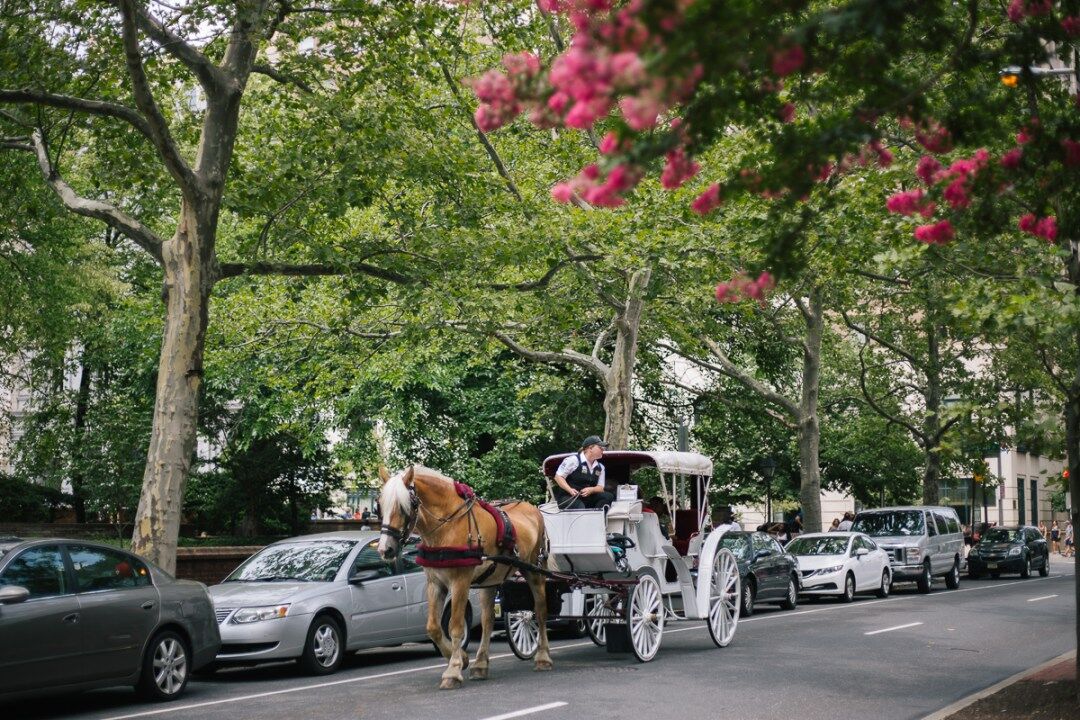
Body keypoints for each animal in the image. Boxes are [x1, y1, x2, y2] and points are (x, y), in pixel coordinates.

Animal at [375, 464, 552, 690]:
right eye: (380, 505)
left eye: (406, 505)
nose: (385, 549)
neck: (448, 525)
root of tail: (533, 508)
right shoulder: (435, 583)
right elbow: (433, 627)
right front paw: (462, 659)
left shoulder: (460, 582)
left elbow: (455, 626)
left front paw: (453, 670)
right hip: (490, 579)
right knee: (487, 620)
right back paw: (481, 664)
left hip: (535, 571)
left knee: (540, 611)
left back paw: (543, 657)